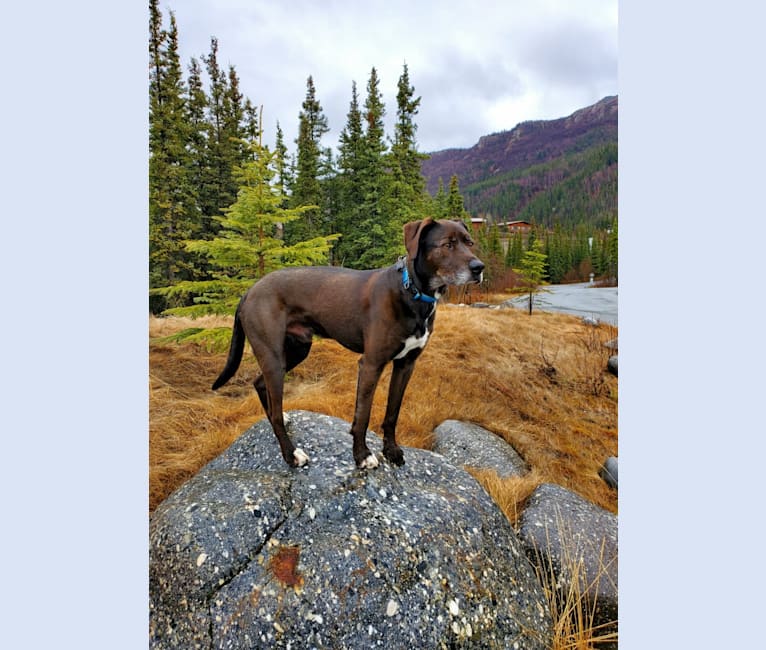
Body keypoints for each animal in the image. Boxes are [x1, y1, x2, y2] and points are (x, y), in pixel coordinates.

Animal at [213, 216, 484, 466]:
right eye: (448, 244)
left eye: (469, 243)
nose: (479, 267)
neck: (411, 292)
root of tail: (249, 291)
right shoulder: (371, 364)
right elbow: (362, 415)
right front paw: (362, 455)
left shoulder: (406, 364)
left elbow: (392, 412)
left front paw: (391, 450)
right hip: (273, 356)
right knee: (273, 403)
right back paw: (291, 454)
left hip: (297, 349)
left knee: (260, 384)